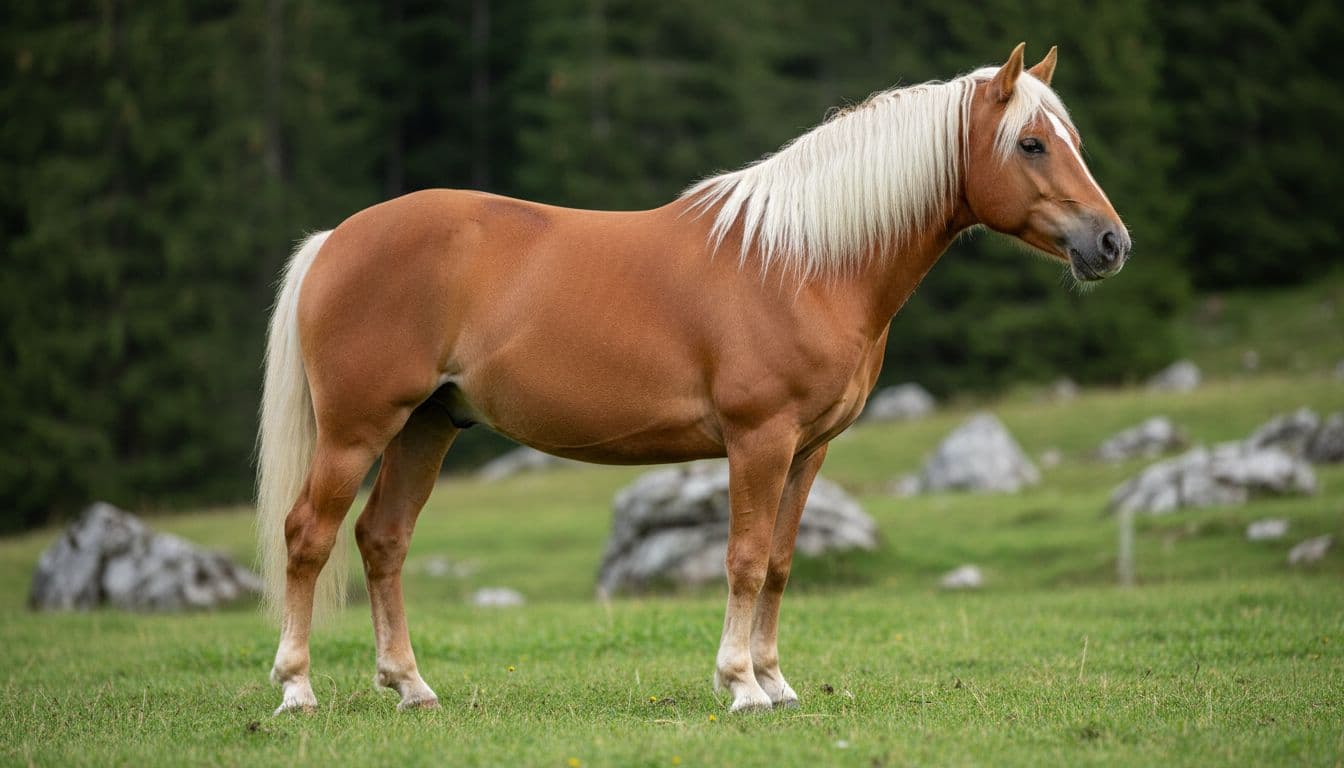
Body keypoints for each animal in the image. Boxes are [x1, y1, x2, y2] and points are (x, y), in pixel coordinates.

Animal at [257, 43, 1130, 715]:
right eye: (1031, 144)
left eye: (1073, 139)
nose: (1111, 243)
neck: (804, 264)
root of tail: (336, 238)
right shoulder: (759, 440)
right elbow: (742, 557)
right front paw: (741, 686)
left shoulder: (809, 449)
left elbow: (779, 562)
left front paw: (777, 684)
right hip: (357, 430)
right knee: (309, 536)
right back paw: (296, 690)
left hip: (428, 426)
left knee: (383, 539)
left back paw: (411, 687)